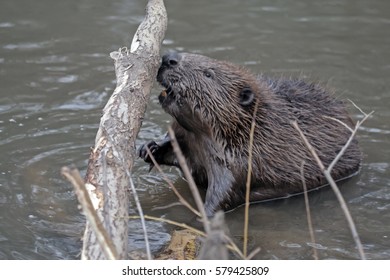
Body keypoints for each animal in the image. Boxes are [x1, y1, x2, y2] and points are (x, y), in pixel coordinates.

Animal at [139, 51, 362, 215]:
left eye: (208, 73)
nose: (169, 58)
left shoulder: (239, 161)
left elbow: (225, 192)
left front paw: (203, 214)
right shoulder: (188, 139)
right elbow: (175, 149)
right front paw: (148, 148)